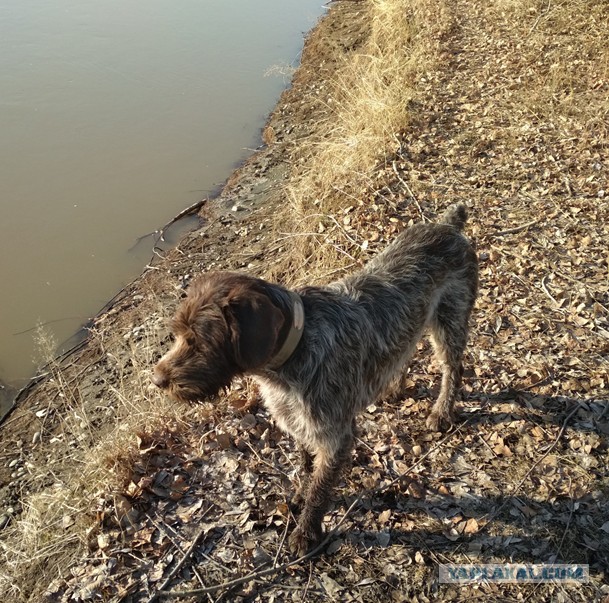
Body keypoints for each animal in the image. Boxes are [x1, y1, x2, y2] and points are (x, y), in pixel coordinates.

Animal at [150, 205, 478, 560]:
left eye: (198, 341)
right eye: (177, 334)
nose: (157, 379)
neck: (288, 361)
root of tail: (448, 226)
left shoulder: (335, 438)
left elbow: (320, 490)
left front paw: (306, 532)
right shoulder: (298, 425)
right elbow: (306, 465)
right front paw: (299, 494)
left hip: (450, 322)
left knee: (453, 368)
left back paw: (442, 411)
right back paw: (392, 387)